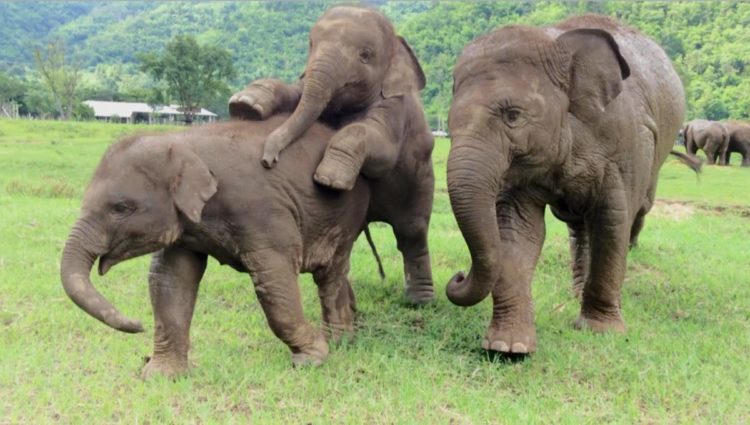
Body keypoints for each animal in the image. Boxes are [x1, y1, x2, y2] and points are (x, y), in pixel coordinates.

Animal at [61, 113, 438, 378]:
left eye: (121, 208)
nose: (136, 325)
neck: (185, 142)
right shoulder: (186, 227)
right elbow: (170, 280)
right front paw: (160, 375)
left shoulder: (261, 210)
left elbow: (274, 279)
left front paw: (312, 358)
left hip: (346, 212)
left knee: (329, 271)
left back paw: (339, 340)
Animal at [226, 4, 432, 190]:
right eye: (311, 45)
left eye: (365, 55)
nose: (268, 161)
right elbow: (296, 94)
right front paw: (245, 105)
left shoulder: (396, 110)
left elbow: (382, 151)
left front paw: (330, 180)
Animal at [444, 14, 704, 354]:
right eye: (448, 125)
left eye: (513, 116)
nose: (457, 277)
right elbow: (518, 229)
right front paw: (507, 348)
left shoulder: (628, 145)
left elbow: (612, 220)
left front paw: (602, 331)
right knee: (579, 225)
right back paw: (577, 293)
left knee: (632, 212)